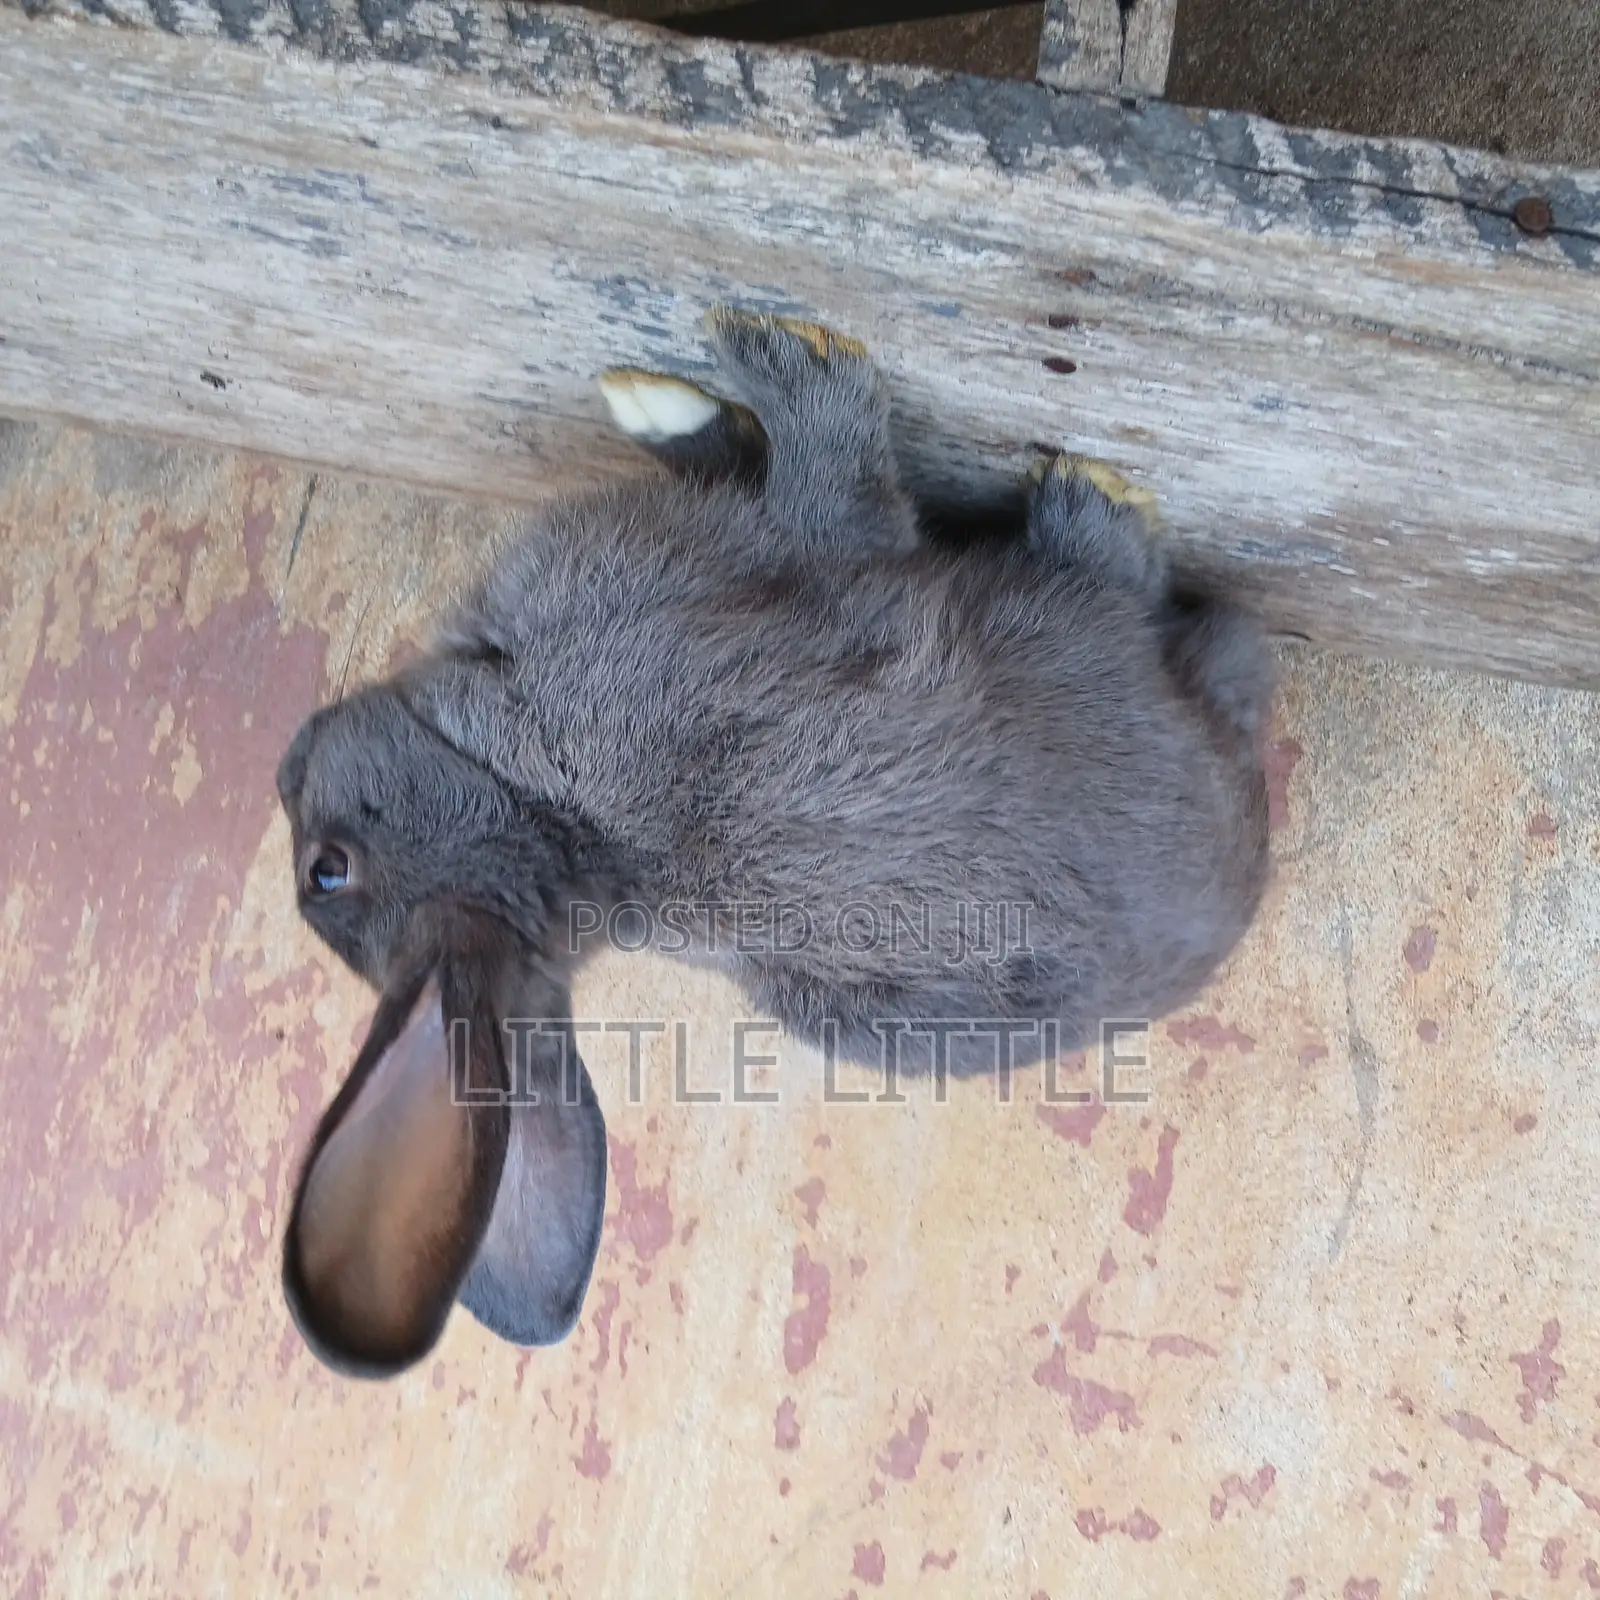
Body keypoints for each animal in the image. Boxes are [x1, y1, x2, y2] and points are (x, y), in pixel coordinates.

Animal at [276, 306, 1272, 1375]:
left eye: (325, 871)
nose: (286, 766)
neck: (533, 803)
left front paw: (668, 394)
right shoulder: (793, 559)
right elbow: (843, 485)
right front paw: (784, 357)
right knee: (1112, 579)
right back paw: (1093, 501)